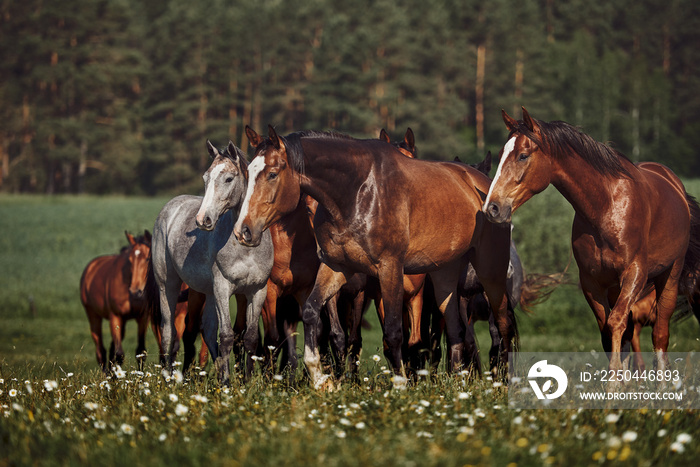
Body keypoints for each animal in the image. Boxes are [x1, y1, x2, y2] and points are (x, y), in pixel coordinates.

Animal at [81, 232, 153, 374]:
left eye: (148, 259)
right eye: (130, 260)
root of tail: (91, 267)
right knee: (101, 351)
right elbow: (119, 354)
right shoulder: (115, 316)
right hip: (93, 316)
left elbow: (141, 352)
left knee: (110, 350)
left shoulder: (143, 318)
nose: (135, 291)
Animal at [150, 142, 274, 384]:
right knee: (168, 331)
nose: (203, 220)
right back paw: (169, 378)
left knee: (207, 330)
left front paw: (245, 381)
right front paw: (226, 383)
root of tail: (170, 208)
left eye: (228, 178)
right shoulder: (223, 287)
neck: (245, 247)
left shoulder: (257, 290)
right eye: (206, 178)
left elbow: (250, 337)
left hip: (208, 291)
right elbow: (226, 336)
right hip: (167, 285)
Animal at [234, 126, 508, 390]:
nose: (243, 230)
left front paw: (400, 386)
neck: (357, 193)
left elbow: (394, 333)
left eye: (272, 174)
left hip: (491, 272)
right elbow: (313, 313)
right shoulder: (335, 266)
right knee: (456, 330)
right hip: (444, 277)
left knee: (503, 324)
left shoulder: (390, 270)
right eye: (248, 173)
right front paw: (322, 380)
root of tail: (484, 185)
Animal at [484, 109, 700, 380]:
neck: (605, 207)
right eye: (500, 155)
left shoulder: (635, 274)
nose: (492, 208)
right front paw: (617, 384)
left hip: (669, 278)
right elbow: (608, 333)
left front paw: (613, 386)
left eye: (523, 155)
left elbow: (616, 323)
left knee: (660, 334)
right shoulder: (591, 282)